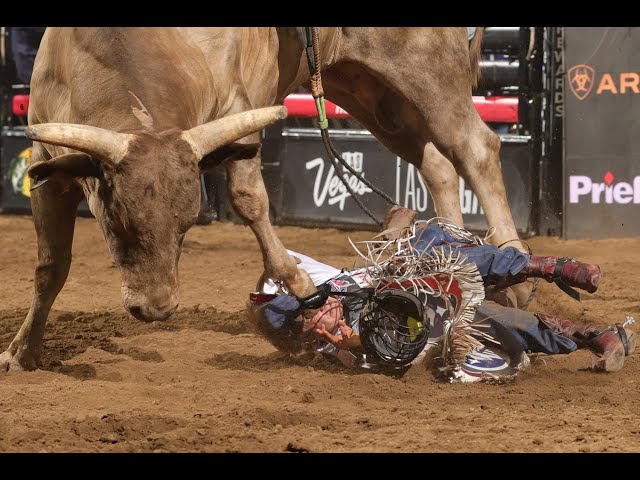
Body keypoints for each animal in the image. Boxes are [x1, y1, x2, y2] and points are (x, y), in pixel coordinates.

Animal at [0, 26, 524, 372]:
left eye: (187, 226)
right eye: (116, 223)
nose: (156, 309)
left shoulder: (241, 110)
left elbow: (248, 196)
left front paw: (297, 281)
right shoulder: (48, 166)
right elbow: (51, 267)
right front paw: (23, 351)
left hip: (426, 67)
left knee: (474, 146)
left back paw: (513, 267)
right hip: (370, 90)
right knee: (436, 160)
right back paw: (451, 252)